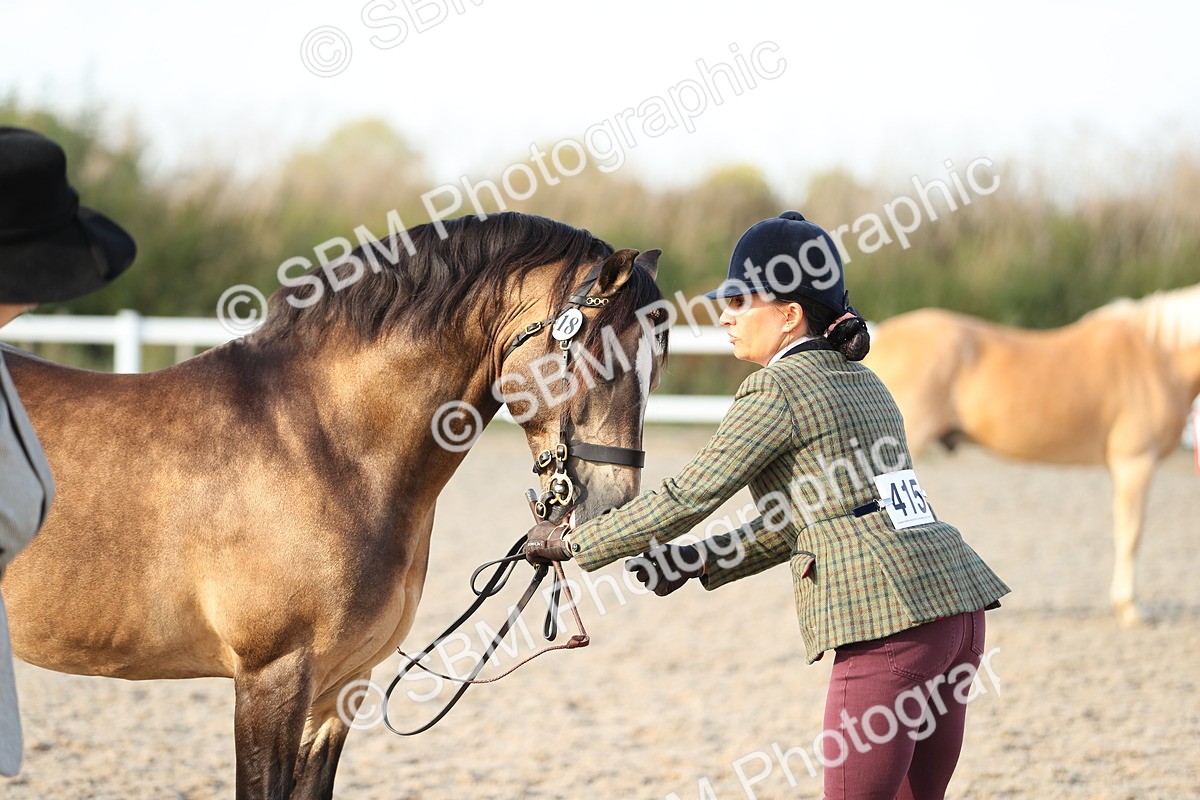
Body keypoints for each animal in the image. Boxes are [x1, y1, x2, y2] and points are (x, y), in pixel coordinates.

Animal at [0, 212, 669, 799]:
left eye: (657, 363)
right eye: (600, 354)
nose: (615, 500)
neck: (324, 443)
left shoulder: (342, 686)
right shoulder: (270, 679)